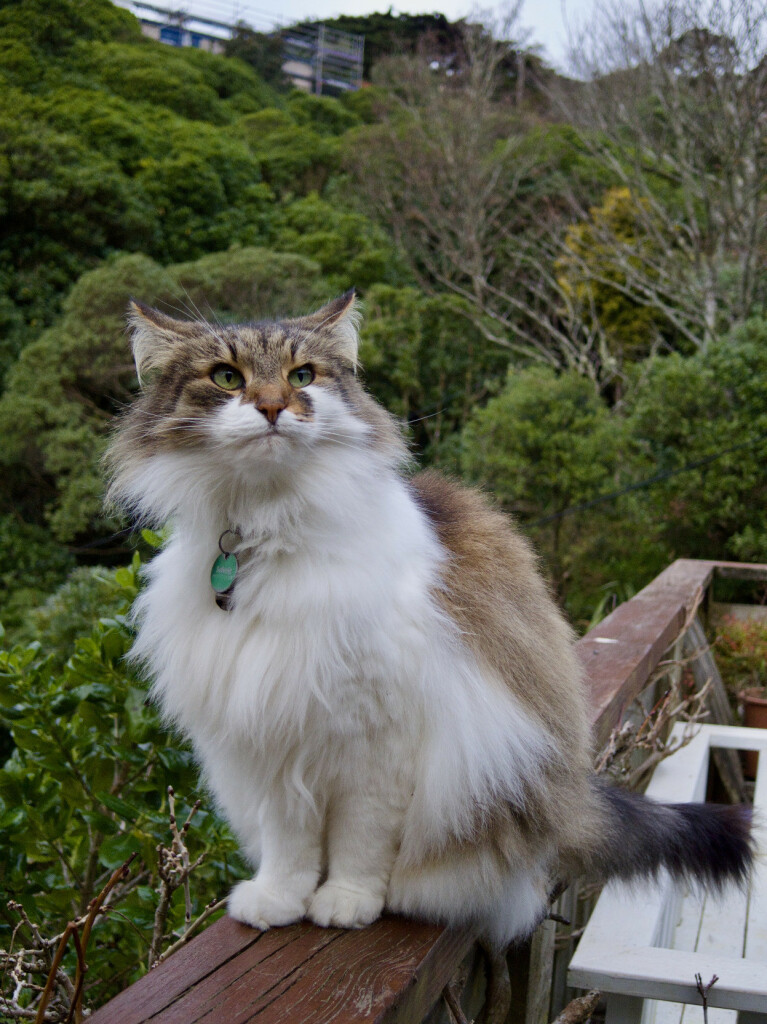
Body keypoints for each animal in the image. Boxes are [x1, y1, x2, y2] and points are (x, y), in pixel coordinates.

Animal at [104, 290, 749, 950]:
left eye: (302, 376)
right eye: (227, 378)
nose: (273, 406)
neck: (267, 533)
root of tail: (572, 803)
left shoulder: (377, 740)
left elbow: (361, 842)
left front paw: (346, 902)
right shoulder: (275, 735)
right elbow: (290, 846)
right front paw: (279, 902)